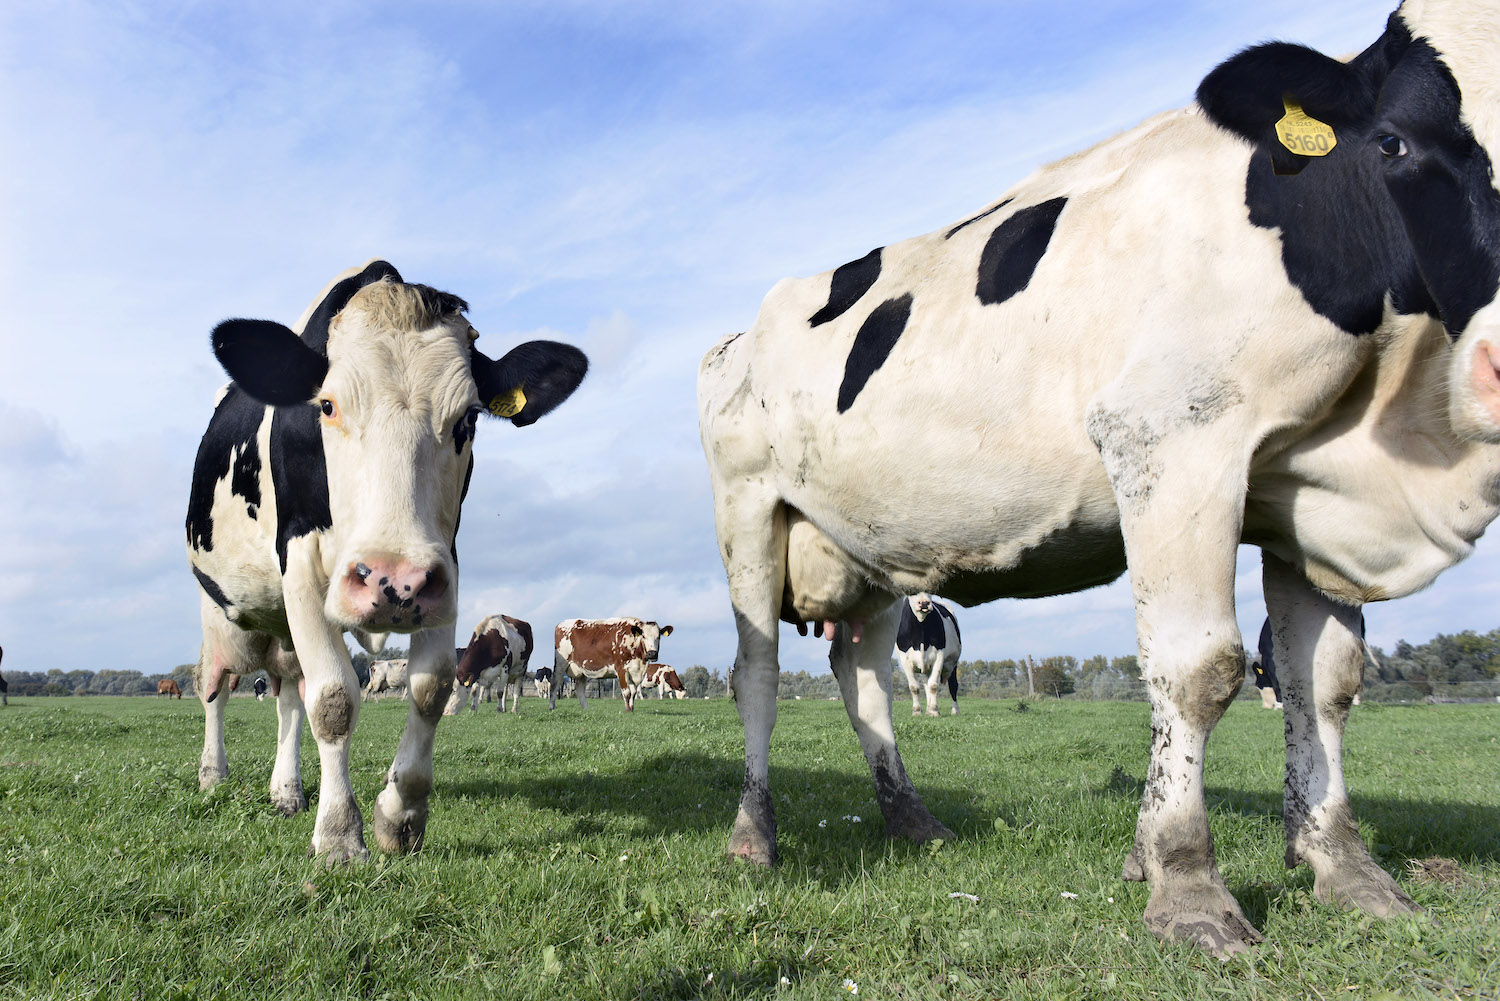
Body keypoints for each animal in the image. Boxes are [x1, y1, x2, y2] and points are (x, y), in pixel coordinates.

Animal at [185, 260, 586, 859]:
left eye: (468, 419)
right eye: (327, 405)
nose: (394, 581)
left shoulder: (444, 571)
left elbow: (430, 688)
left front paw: (400, 817)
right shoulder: (299, 565)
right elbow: (332, 699)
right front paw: (338, 835)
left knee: (287, 693)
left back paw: (287, 791)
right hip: (221, 610)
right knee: (215, 685)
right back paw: (214, 774)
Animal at [697, 1, 1500, 954]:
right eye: (1396, 143)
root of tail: (738, 333)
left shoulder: (1306, 494)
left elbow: (1325, 683)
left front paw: (1346, 869)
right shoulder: (1171, 438)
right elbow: (1201, 668)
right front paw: (1189, 887)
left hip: (870, 547)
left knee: (865, 682)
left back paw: (912, 819)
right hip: (749, 510)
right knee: (755, 674)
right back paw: (753, 834)